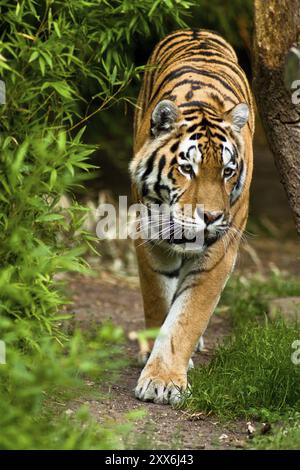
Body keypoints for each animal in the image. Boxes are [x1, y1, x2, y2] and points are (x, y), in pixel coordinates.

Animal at [130, 28, 254, 404]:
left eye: (227, 171)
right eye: (187, 168)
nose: (211, 216)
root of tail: (199, 30)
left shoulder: (218, 253)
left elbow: (187, 316)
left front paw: (163, 380)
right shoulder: (148, 238)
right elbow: (158, 300)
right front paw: (153, 362)